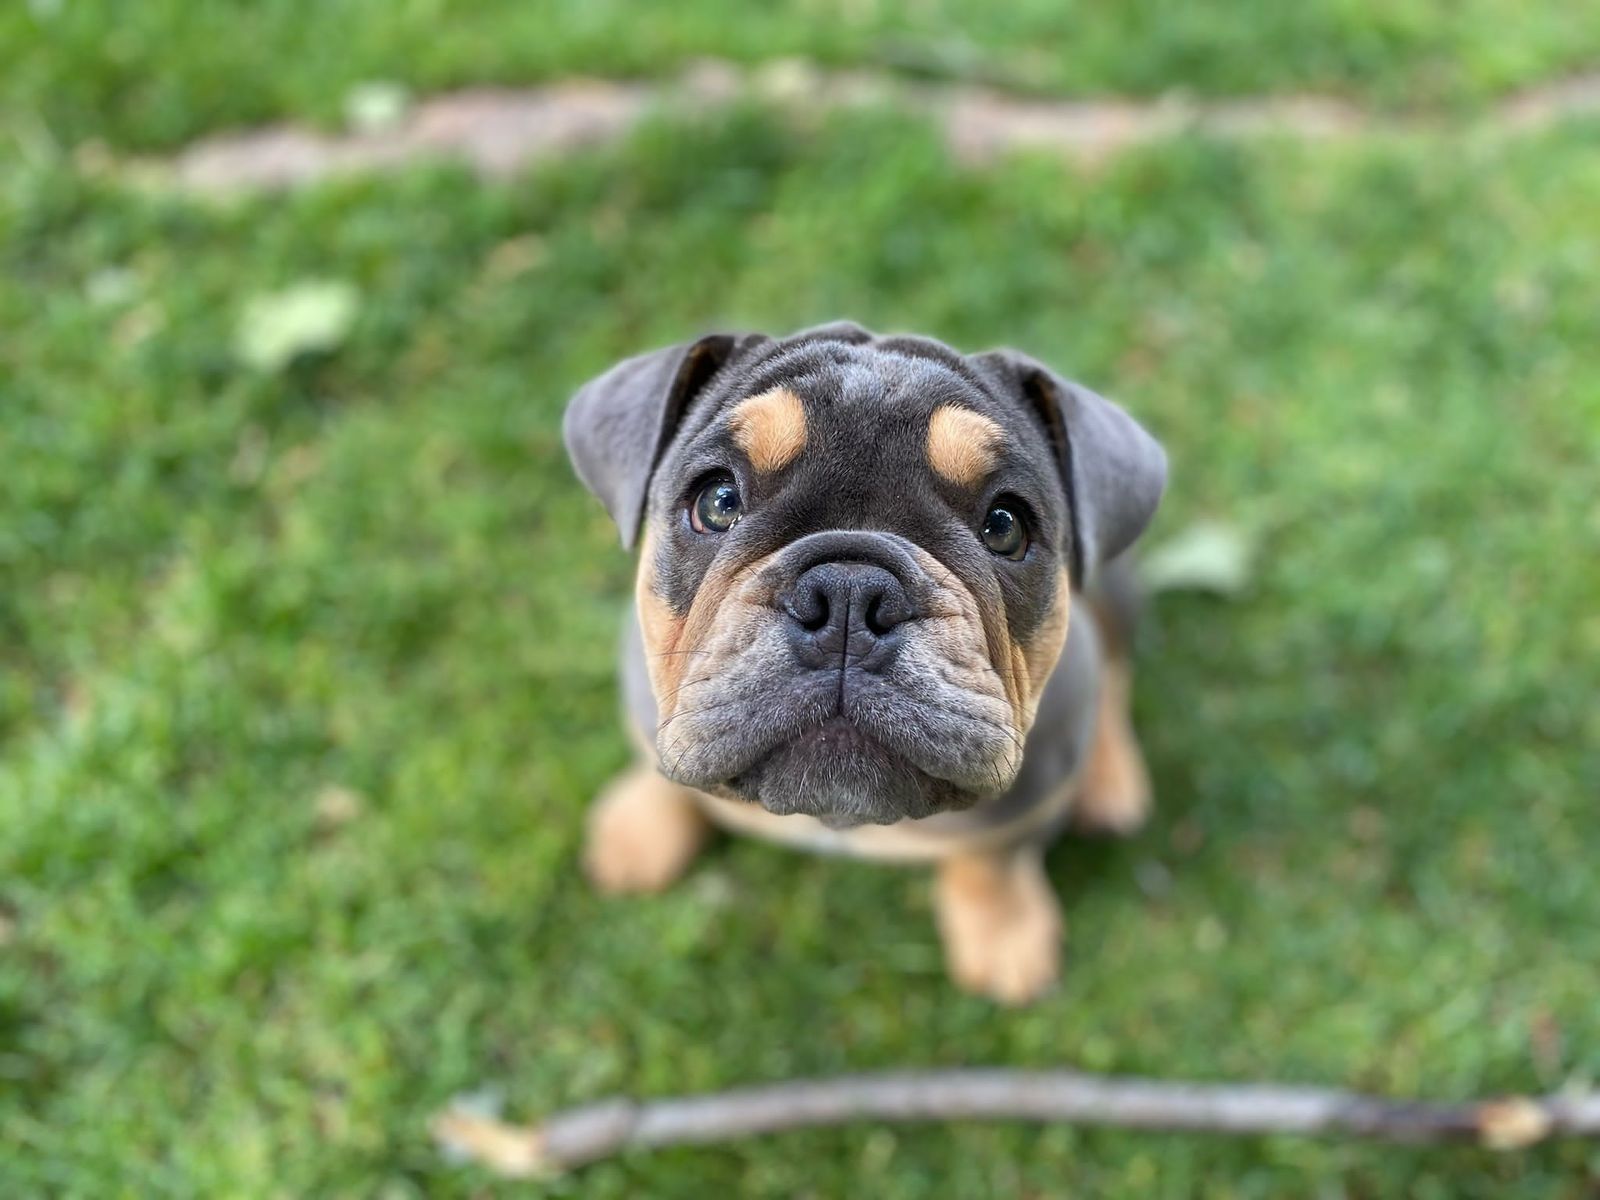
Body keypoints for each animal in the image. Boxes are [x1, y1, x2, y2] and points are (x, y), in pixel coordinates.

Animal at [564, 322, 1166, 1004]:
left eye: (1004, 526)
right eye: (717, 501)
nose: (850, 595)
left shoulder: (1029, 801)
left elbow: (995, 858)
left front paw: (1005, 933)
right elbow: (658, 766)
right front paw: (640, 826)